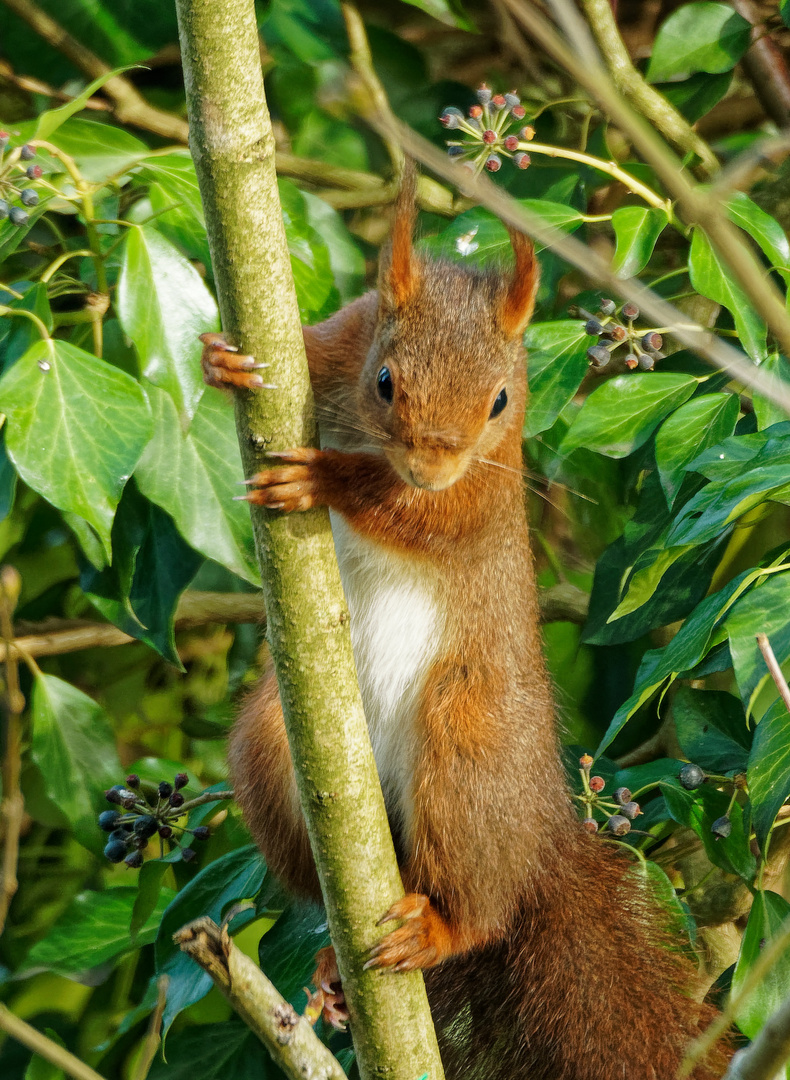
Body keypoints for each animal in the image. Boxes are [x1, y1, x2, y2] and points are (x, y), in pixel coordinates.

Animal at [201, 164, 730, 1075]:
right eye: (384, 380)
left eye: (501, 400)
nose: (429, 461)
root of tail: (546, 829)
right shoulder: (335, 344)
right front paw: (221, 358)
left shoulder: (485, 491)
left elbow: (426, 517)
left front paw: (327, 481)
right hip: (271, 746)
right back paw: (331, 968)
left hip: (469, 741)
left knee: (479, 909)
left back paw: (436, 930)